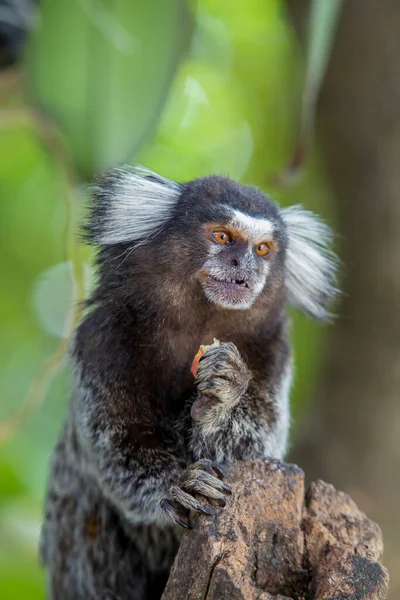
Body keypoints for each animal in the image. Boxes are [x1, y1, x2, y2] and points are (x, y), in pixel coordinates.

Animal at [39, 168, 338, 600]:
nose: (245, 266)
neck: (201, 318)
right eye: (223, 237)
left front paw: (220, 397)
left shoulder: (275, 351)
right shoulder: (100, 340)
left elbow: (255, 450)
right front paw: (180, 486)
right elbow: (119, 446)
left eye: (263, 249)